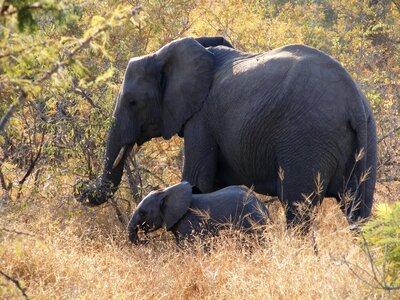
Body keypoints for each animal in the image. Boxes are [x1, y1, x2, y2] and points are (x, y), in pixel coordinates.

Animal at [73, 35, 376, 225]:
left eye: (132, 102)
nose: (80, 188)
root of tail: (353, 101)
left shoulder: (201, 120)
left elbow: (196, 182)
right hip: (367, 138)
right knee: (359, 212)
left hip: (306, 140)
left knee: (298, 210)